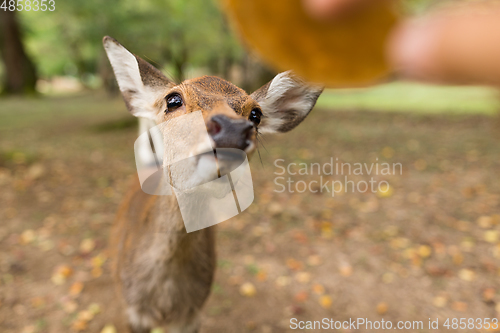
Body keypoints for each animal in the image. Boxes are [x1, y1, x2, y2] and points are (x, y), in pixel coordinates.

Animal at [103, 36, 322, 332]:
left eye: (256, 114)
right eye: (173, 99)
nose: (232, 130)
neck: (164, 301)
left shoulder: (191, 316)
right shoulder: (123, 311)